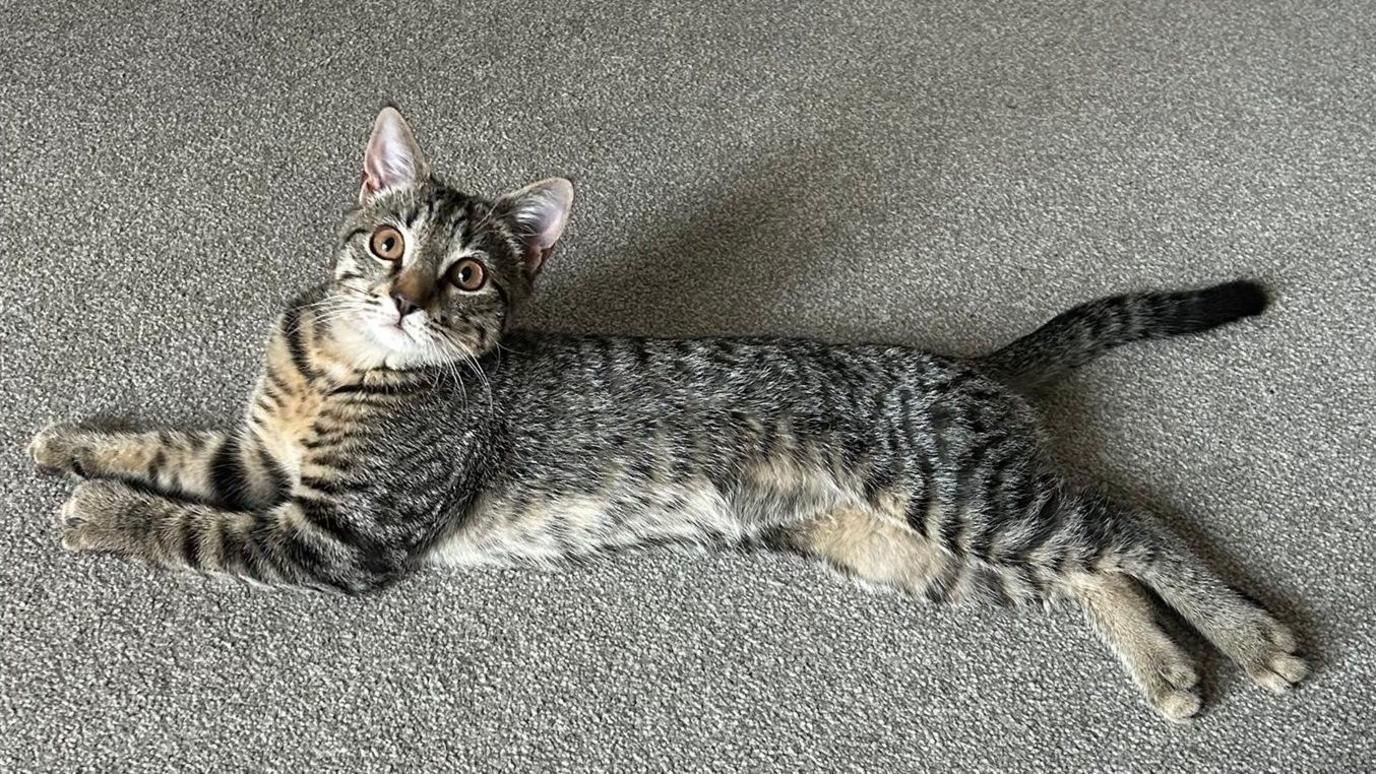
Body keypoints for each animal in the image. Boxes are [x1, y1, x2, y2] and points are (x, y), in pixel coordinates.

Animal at [26, 106, 1304, 716]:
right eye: (388, 242)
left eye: (468, 273)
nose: (403, 297)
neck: (336, 362)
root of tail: (968, 365)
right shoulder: (256, 460)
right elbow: (167, 447)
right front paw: (68, 442)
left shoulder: (339, 536)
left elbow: (190, 527)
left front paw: (98, 515)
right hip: (920, 548)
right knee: (1089, 567)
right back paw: (1168, 670)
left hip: (958, 497)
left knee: (1130, 524)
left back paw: (1249, 640)